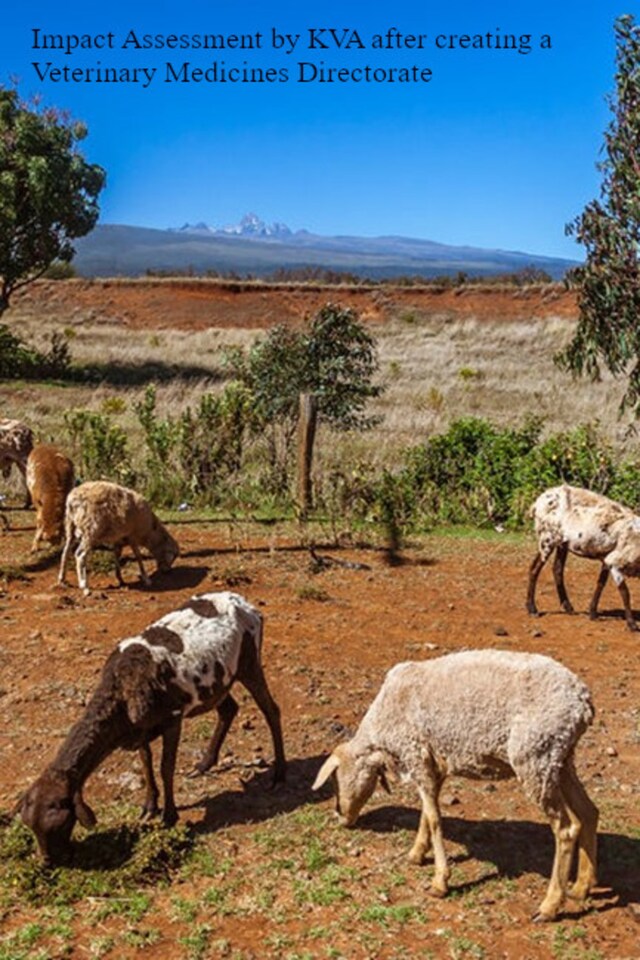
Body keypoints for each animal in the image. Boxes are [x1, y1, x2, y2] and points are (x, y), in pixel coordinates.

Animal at [18, 588, 286, 868]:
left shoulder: (173, 718)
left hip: (249, 660)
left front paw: (169, 816)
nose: (49, 861)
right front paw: (149, 806)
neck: (120, 692)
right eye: (31, 827)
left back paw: (279, 774)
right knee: (228, 710)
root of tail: (246, 604)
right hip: (218, 681)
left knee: (271, 710)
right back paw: (204, 764)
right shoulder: (139, 730)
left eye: (59, 826)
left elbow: (165, 767)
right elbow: (146, 762)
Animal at [312, 648, 596, 928]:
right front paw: (417, 853)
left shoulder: (415, 754)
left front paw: (439, 881)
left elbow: (435, 819)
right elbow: (427, 813)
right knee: (589, 812)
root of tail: (582, 702)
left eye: (335, 781)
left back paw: (550, 905)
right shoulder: (433, 764)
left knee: (566, 829)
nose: (342, 819)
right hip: (559, 758)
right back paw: (581, 887)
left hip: (535, 755)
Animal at [528, 484, 640, 632]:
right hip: (548, 538)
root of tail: (537, 503)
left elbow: (600, 584)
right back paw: (532, 609)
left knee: (557, 569)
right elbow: (625, 592)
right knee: (535, 568)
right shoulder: (615, 561)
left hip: (561, 543)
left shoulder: (606, 559)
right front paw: (632, 624)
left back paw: (567, 607)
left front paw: (593, 613)